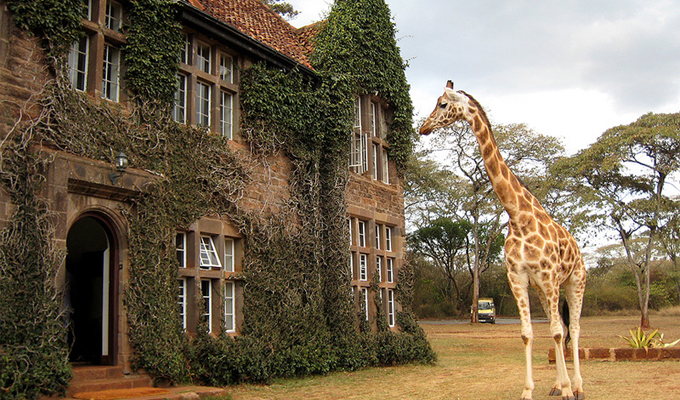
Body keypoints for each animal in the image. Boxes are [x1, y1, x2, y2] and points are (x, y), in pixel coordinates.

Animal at [420, 81, 586, 400]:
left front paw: (569, 391)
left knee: (574, 329)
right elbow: (528, 333)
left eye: (443, 104)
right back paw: (557, 385)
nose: (423, 127)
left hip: (574, 282)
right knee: (558, 327)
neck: (518, 216)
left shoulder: (549, 276)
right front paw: (529, 390)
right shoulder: (518, 277)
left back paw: (577, 386)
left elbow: (559, 332)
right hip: (545, 290)